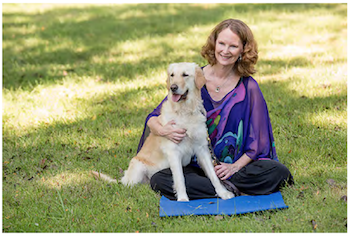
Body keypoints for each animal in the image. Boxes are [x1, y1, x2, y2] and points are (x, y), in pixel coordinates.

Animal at [94, 62, 234, 201]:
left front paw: (223, 192)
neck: (185, 111)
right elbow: (180, 179)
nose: (173, 87)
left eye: (185, 75)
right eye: (172, 75)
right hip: (137, 168)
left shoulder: (202, 148)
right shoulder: (173, 151)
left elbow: (213, 175)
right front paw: (183, 199)